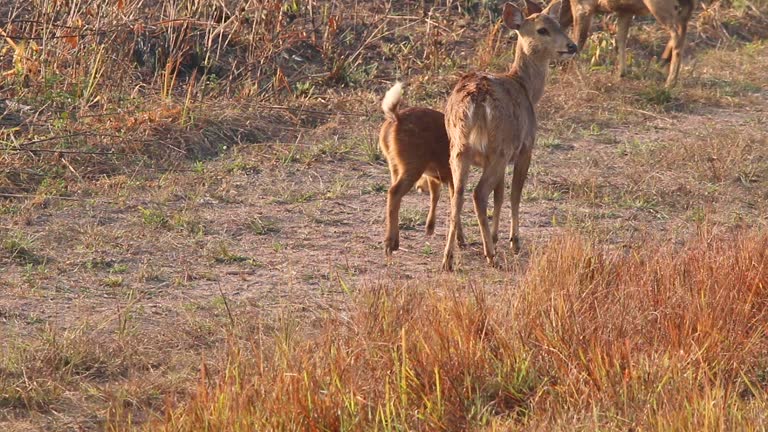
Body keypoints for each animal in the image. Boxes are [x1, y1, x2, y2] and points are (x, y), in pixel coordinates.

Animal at [376, 82, 462, 255]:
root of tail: (396, 118)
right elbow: (454, 203)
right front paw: (460, 240)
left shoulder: (437, 176)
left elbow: (437, 196)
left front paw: (430, 229)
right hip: (413, 165)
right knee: (394, 192)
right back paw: (389, 245)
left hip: (394, 165)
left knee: (393, 194)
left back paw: (394, 242)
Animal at [438, 0, 576, 270]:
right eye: (542, 29)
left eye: (560, 24)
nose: (571, 46)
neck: (527, 88)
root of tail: (476, 98)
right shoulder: (525, 148)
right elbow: (514, 194)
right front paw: (513, 242)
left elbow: (500, 195)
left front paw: (494, 236)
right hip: (499, 147)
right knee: (478, 193)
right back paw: (490, 255)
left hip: (459, 148)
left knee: (457, 193)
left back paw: (449, 257)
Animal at [560, 0, 696, 88]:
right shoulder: (625, 10)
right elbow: (620, 39)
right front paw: (621, 74)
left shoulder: (583, 7)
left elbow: (578, 40)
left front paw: (566, 73)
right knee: (683, 24)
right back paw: (662, 65)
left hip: (658, 4)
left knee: (677, 30)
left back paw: (670, 81)